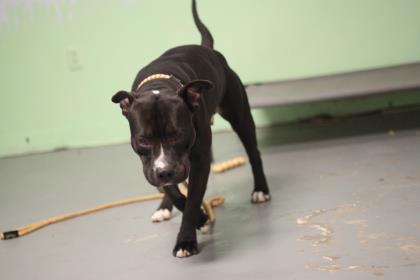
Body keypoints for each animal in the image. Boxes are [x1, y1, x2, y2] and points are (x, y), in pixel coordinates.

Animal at [110, 0, 270, 258]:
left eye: (178, 135)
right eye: (144, 140)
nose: (165, 172)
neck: (159, 86)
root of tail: (207, 49)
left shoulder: (200, 160)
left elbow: (193, 199)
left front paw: (188, 237)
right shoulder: (150, 165)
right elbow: (173, 192)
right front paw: (197, 217)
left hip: (241, 119)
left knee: (254, 153)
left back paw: (260, 190)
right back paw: (163, 207)